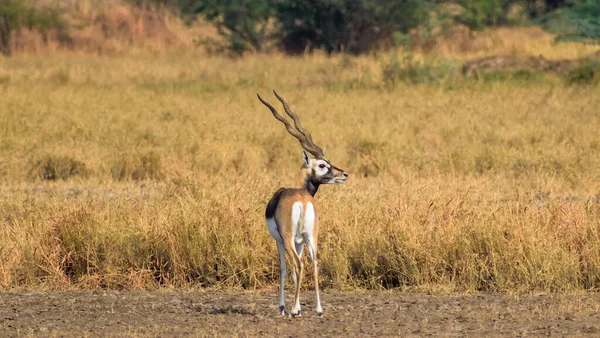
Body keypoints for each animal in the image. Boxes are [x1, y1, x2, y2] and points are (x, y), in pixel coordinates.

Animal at [256, 90, 350, 316]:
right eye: (323, 164)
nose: (344, 174)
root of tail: (301, 199)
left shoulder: (281, 241)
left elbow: (284, 269)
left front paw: (285, 307)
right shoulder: (300, 241)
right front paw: (298, 306)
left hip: (290, 238)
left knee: (298, 265)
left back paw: (292, 311)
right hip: (311, 236)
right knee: (314, 263)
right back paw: (319, 309)